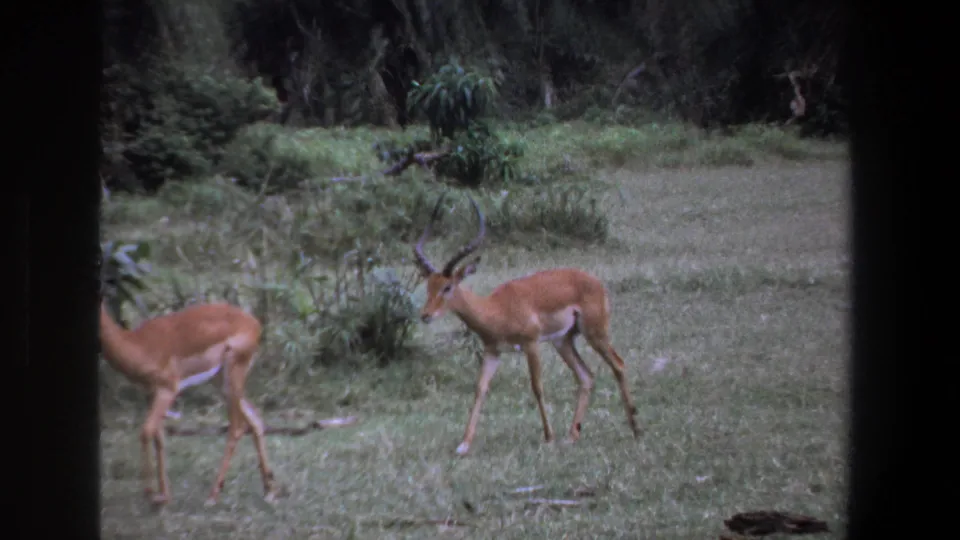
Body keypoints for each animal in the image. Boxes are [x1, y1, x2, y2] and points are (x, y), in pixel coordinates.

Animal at [99, 301, 277, 506]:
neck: (138, 344)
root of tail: (256, 324)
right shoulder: (151, 393)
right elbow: (159, 437)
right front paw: (164, 496)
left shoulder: (168, 389)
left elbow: (146, 432)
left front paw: (152, 495)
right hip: (221, 380)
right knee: (255, 418)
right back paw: (270, 492)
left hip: (233, 373)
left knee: (237, 427)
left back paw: (212, 496)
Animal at [413, 193, 641, 455]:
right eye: (429, 286)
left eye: (447, 287)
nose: (425, 315)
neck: (496, 309)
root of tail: (596, 282)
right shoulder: (493, 351)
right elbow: (480, 389)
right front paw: (464, 444)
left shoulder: (531, 344)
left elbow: (537, 387)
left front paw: (548, 437)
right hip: (563, 341)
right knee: (586, 376)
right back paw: (572, 436)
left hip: (595, 333)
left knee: (619, 365)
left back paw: (636, 430)